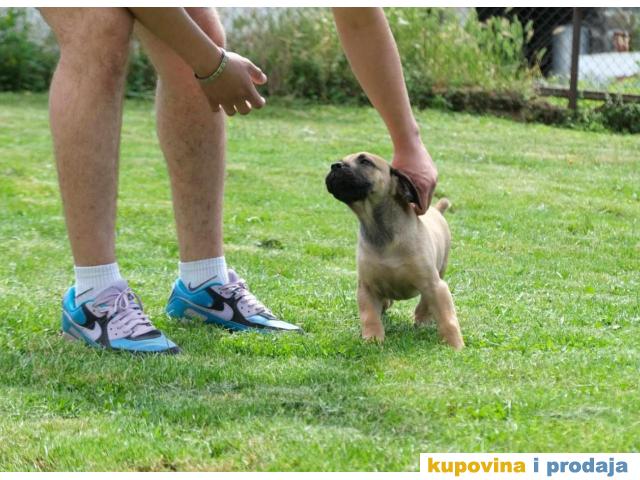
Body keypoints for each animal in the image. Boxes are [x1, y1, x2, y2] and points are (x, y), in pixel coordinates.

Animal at [325, 152, 464, 349]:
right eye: (342, 160)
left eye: (365, 161)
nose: (335, 166)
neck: (381, 232)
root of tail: (437, 210)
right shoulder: (367, 288)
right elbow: (370, 317)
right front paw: (373, 339)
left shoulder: (435, 285)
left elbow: (447, 318)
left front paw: (455, 345)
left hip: (439, 272)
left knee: (425, 303)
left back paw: (422, 319)